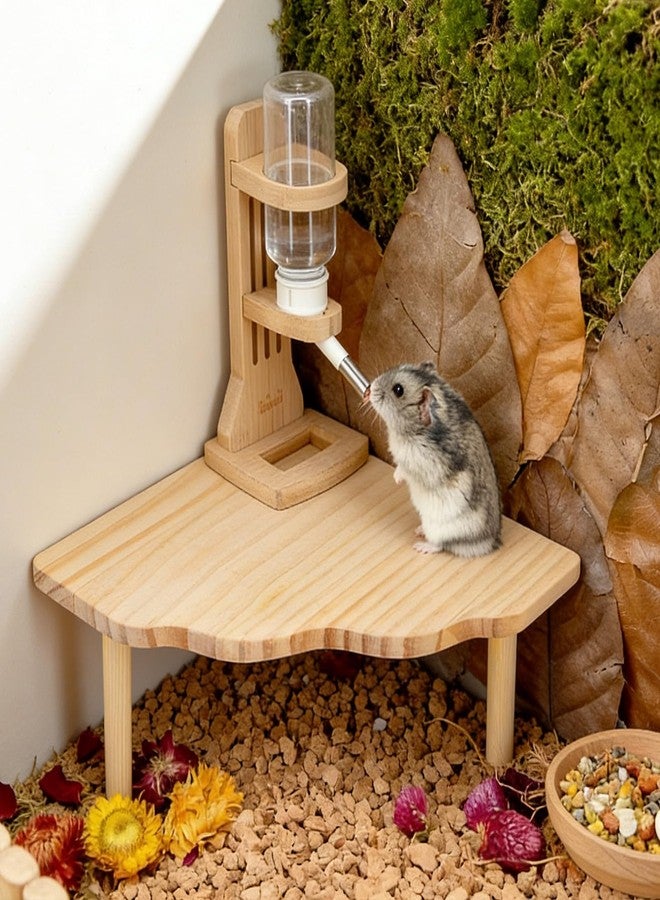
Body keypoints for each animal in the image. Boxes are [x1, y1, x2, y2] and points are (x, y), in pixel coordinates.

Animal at [365, 362, 501, 557]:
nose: (369, 389)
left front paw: (396, 479)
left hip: (439, 528)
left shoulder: (420, 462)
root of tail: (490, 543)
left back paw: (421, 545)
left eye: (398, 390)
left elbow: (404, 469)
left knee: (440, 545)